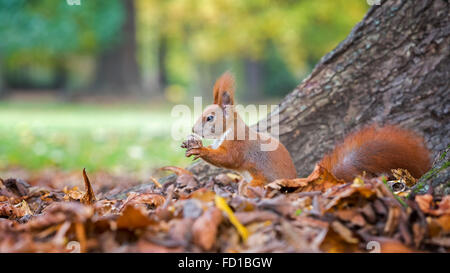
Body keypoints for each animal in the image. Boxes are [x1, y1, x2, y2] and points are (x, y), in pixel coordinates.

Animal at [182, 72, 432, 186]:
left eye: (210, 118)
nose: (193, 128)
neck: (229, 130)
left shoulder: (239, 145)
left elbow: (228, 159)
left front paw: (200, 149)